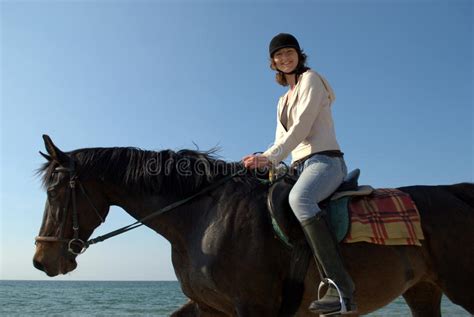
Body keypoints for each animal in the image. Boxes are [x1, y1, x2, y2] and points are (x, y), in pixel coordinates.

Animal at [33, 135, 474, 314]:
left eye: (54, 192)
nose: (41, 260)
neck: (201, 217)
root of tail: (456, 193)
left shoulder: (251, 307)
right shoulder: (209, 306)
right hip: (423, 291)